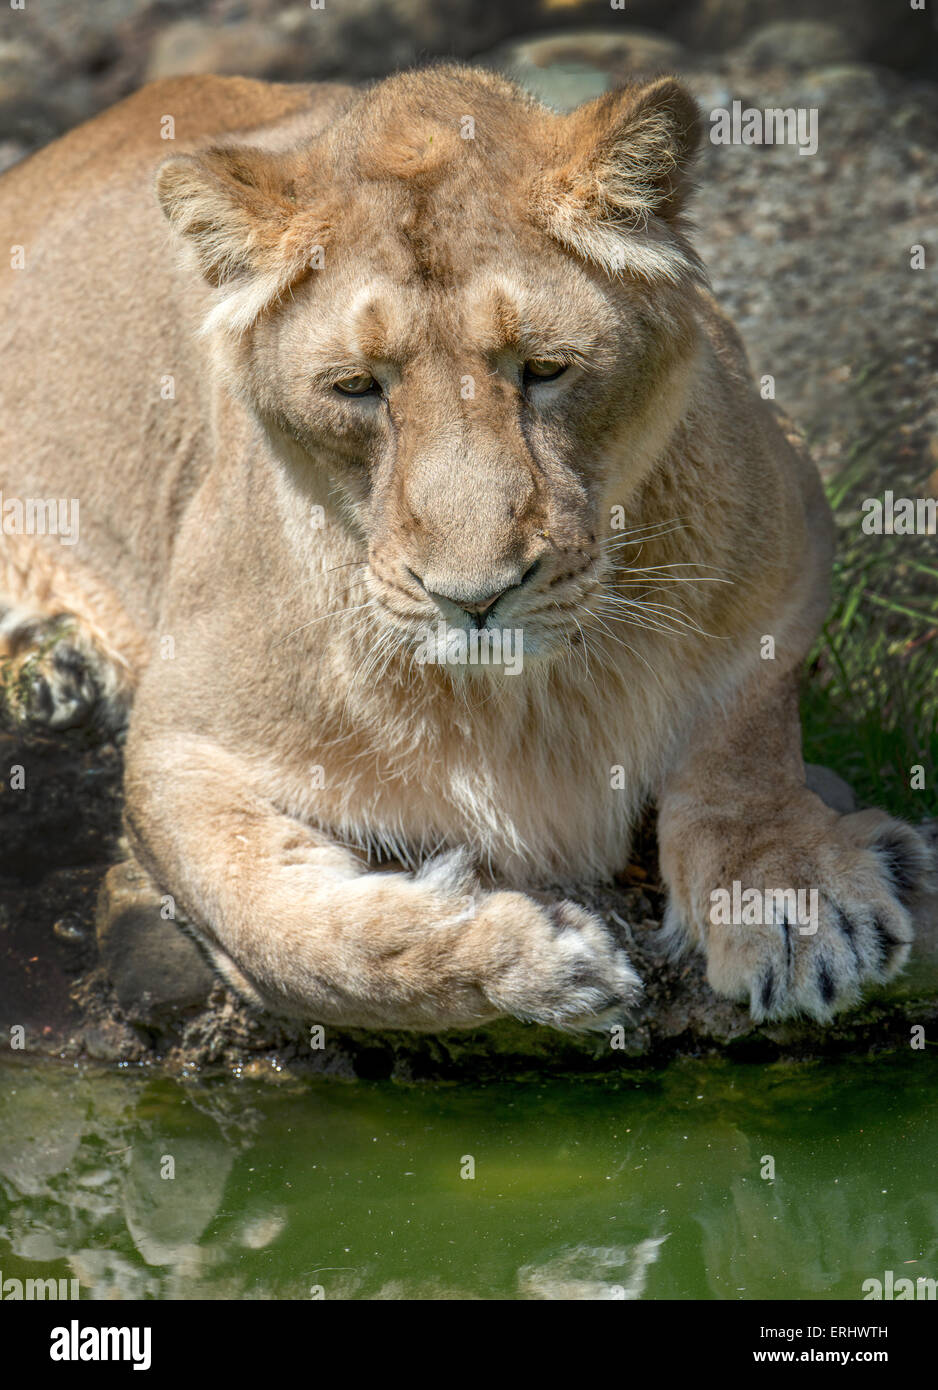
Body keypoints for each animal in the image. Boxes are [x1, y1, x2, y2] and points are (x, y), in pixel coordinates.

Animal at [0, 65, 929, 1032]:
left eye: (546, 369)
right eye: (357, 388)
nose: (475, 598)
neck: (518, 699)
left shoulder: (790, 553)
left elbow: (743, 741)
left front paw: (800, 903)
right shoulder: (177, 742)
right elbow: (285, 937)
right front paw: (527, 958)